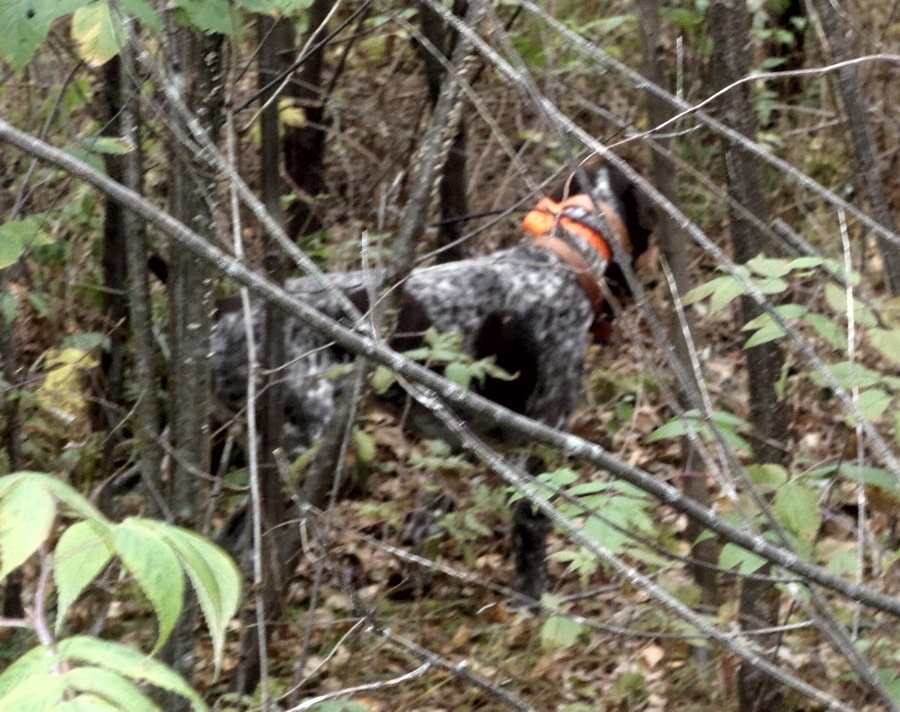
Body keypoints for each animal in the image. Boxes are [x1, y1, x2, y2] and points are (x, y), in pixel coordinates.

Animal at [211, 156, 652, 600]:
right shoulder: (540, 443)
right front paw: (532, 604)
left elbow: (427, 520)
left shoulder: (459, 444)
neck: (564, 260)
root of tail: (226, 313)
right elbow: (530, 533)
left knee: (229, 541)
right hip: (307, 444)